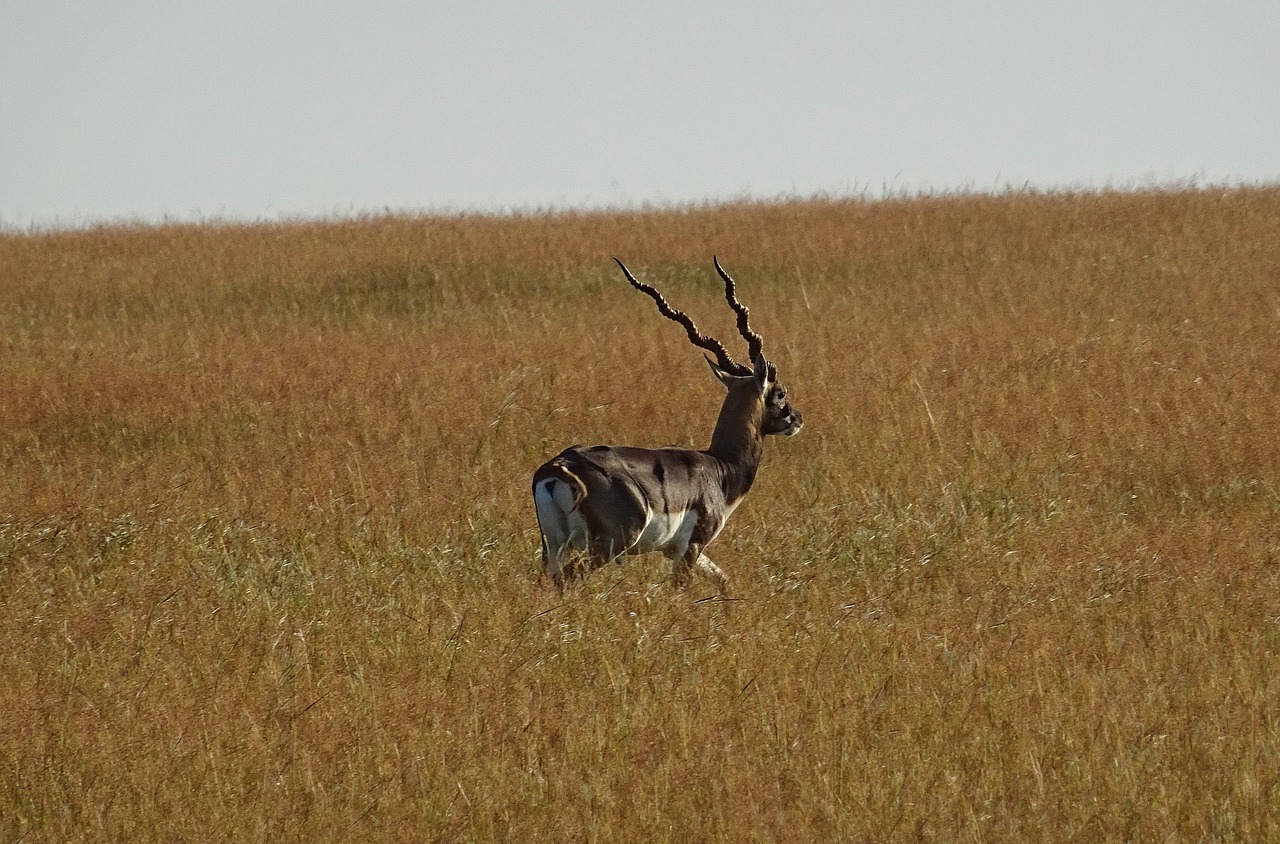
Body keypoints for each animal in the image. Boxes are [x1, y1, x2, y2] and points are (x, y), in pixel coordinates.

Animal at [529, 257, 798, 594]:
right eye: (780, 392)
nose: (797, 419)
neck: (720, 468)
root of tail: (559, 466)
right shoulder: (691, 547)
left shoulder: (676, 550)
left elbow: (725, 582)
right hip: (607, 545)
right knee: (568, 578)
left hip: (553, 546)